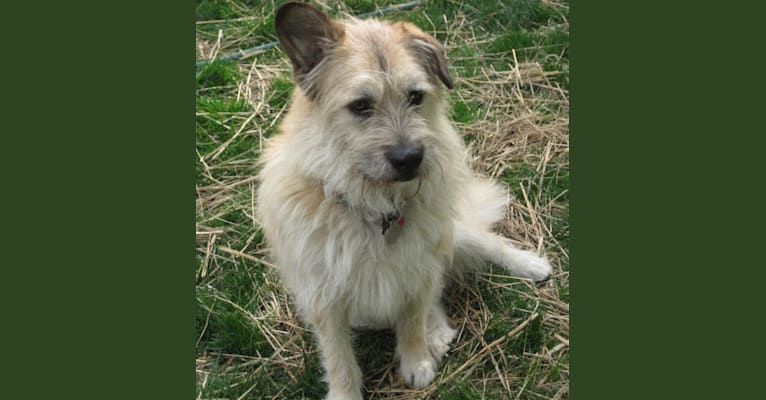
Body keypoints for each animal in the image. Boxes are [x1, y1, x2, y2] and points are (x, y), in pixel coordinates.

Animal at [256, 3, 552, 400]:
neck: (376, 209)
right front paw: (346, 392)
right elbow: (339, 357)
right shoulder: (324, 297)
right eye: (361, 106)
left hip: (452, 234)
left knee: (488, 244)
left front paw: (416, 361)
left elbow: (412, 320)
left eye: (415, 97)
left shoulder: (416, 269)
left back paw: (528, 266)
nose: (410, 158)